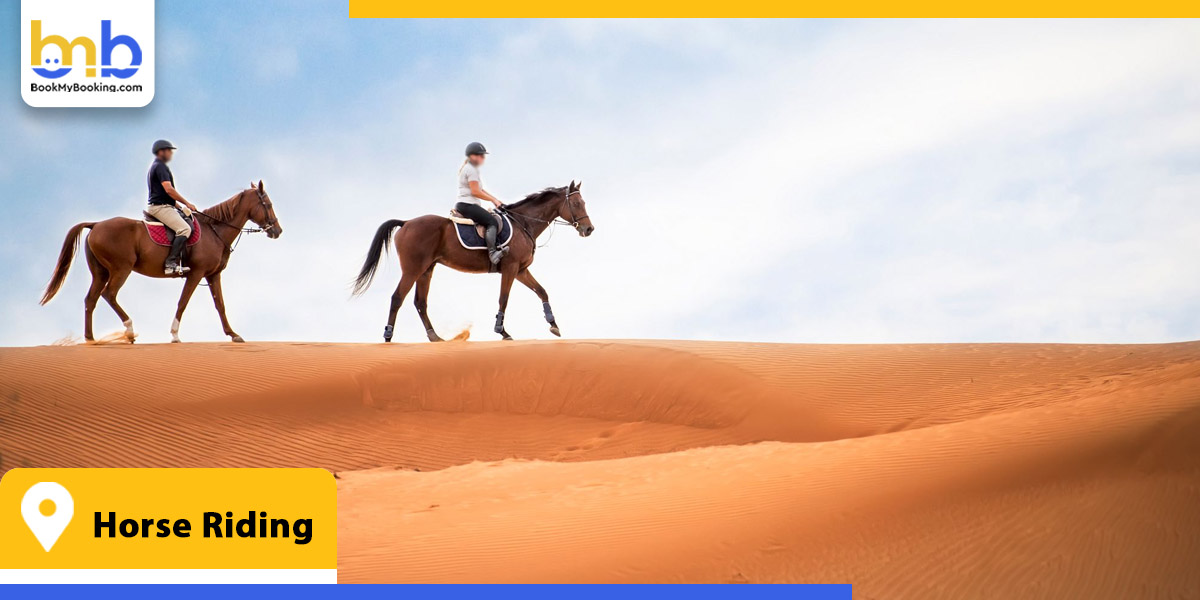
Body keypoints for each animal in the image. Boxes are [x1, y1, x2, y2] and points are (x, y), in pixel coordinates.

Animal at [39, 181, 283, 343]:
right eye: (268, 204)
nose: (278, 231)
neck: (214, 231)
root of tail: (96, 224)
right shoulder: (196, 273)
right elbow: (183, 302)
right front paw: (175, 335)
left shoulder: (213, 275)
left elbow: (220, 305)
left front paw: (233, 334)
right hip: (121, 269)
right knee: (109, 294)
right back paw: (129, 331)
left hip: (101, 272)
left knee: (91, 300)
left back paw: (90, 340)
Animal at [352, 181, 594, 341]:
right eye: (576, 203)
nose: (589, 229)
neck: (523, 223)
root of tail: (406, 222)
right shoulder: (510, 268)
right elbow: (503, 298)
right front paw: (501, 331)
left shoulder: (521, 270)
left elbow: (542, 291)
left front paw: (553, 324)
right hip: (412, 270)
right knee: (397, 298)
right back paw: (388, 337)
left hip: (426, 270)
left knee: (420, 302)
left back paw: (435, 337)